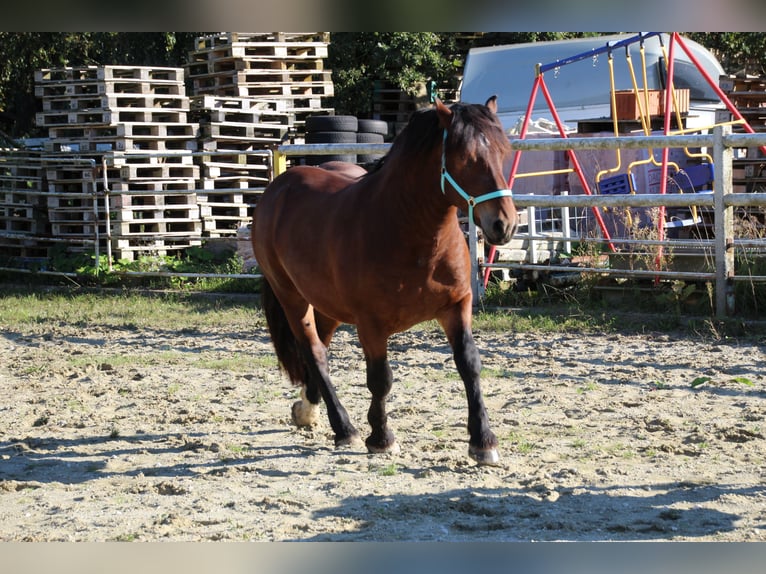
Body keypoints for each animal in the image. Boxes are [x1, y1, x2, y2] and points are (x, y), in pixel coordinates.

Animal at [252, 97, 517, 465]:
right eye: (465, 157)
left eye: (504, 152)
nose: (504, 224)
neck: (413, 234)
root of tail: (277, 189)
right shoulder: (371, 323)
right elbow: (380, 379)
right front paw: (381, 438)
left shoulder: (456, 306)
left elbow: (469, 365)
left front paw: (483, 440)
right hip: (292, 297)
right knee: (314, 351)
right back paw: (344, 428)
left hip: (326, 303)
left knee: (320, 347)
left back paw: (308, 409)